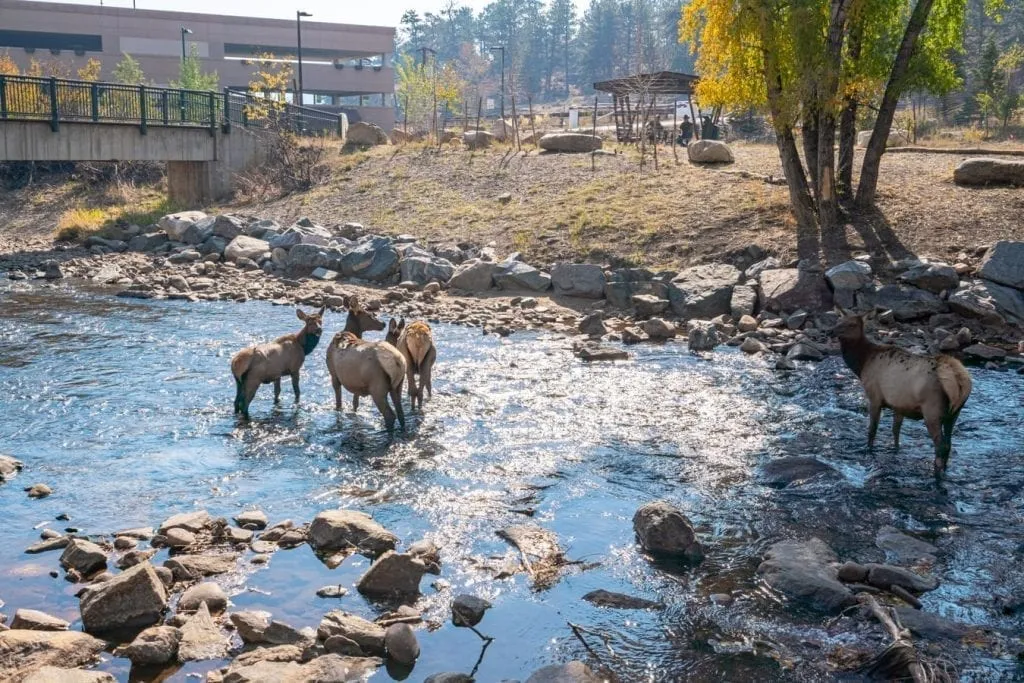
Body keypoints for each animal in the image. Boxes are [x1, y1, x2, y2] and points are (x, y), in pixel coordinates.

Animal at [835, 311, 970, 475]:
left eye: (852, 324)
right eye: (838, 321)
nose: (832, 331)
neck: (862, 364)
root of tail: (960, 379)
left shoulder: (874, 396)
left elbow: (872, 430)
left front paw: (868, 450)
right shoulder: (899, 405)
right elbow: (895, 431)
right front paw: (896, 450)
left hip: (932, 409)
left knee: (941, 445)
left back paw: (936, 472)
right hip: (954, 413)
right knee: (949, 444)